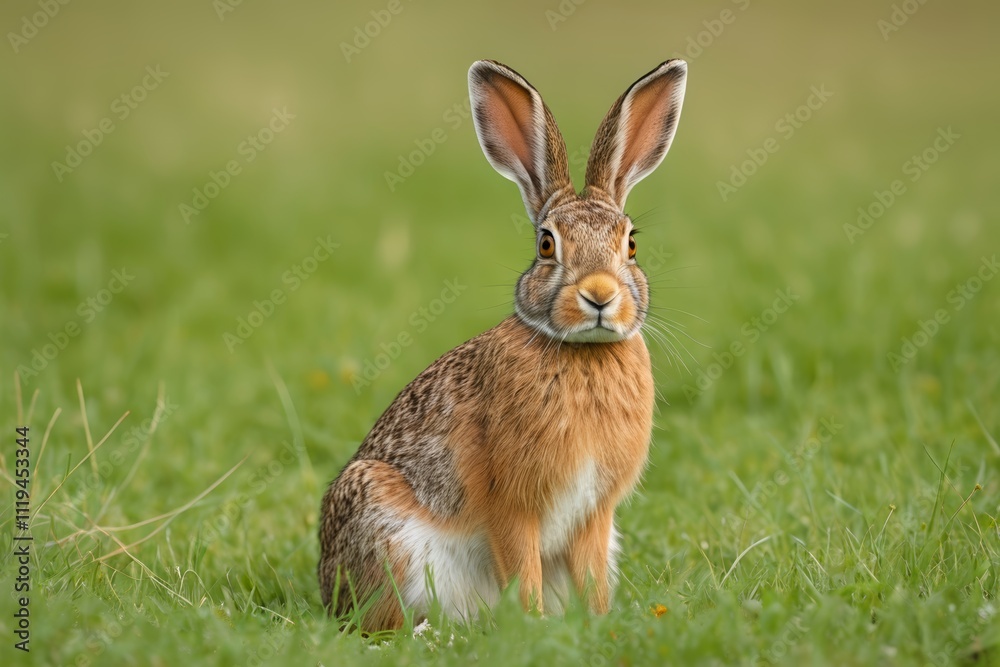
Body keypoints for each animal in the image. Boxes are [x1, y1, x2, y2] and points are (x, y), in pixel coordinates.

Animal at [319, 58, 687, 631]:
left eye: (631, 243)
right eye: (546, 244)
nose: (599, 295)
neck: (581, 352)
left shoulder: (595, 514)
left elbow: (590, 576)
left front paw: (597, 623)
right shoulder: (512, 506)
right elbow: (521, 568)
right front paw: (533, 627)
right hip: (386, 529)